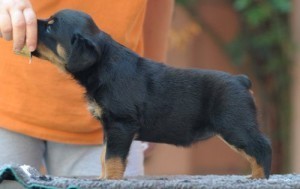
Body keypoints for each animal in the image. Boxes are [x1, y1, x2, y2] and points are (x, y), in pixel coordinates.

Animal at [32, 9, 272, 180]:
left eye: (51, 28)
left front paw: (110, 180)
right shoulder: (109, 128)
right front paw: (102, 179)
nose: (33, 22)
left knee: (262, 146)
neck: (103, 64)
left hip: (235, 125)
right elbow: (103, 155)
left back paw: (259, 178)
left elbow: (112, 158)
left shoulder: (121, 124)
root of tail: (241, 79)